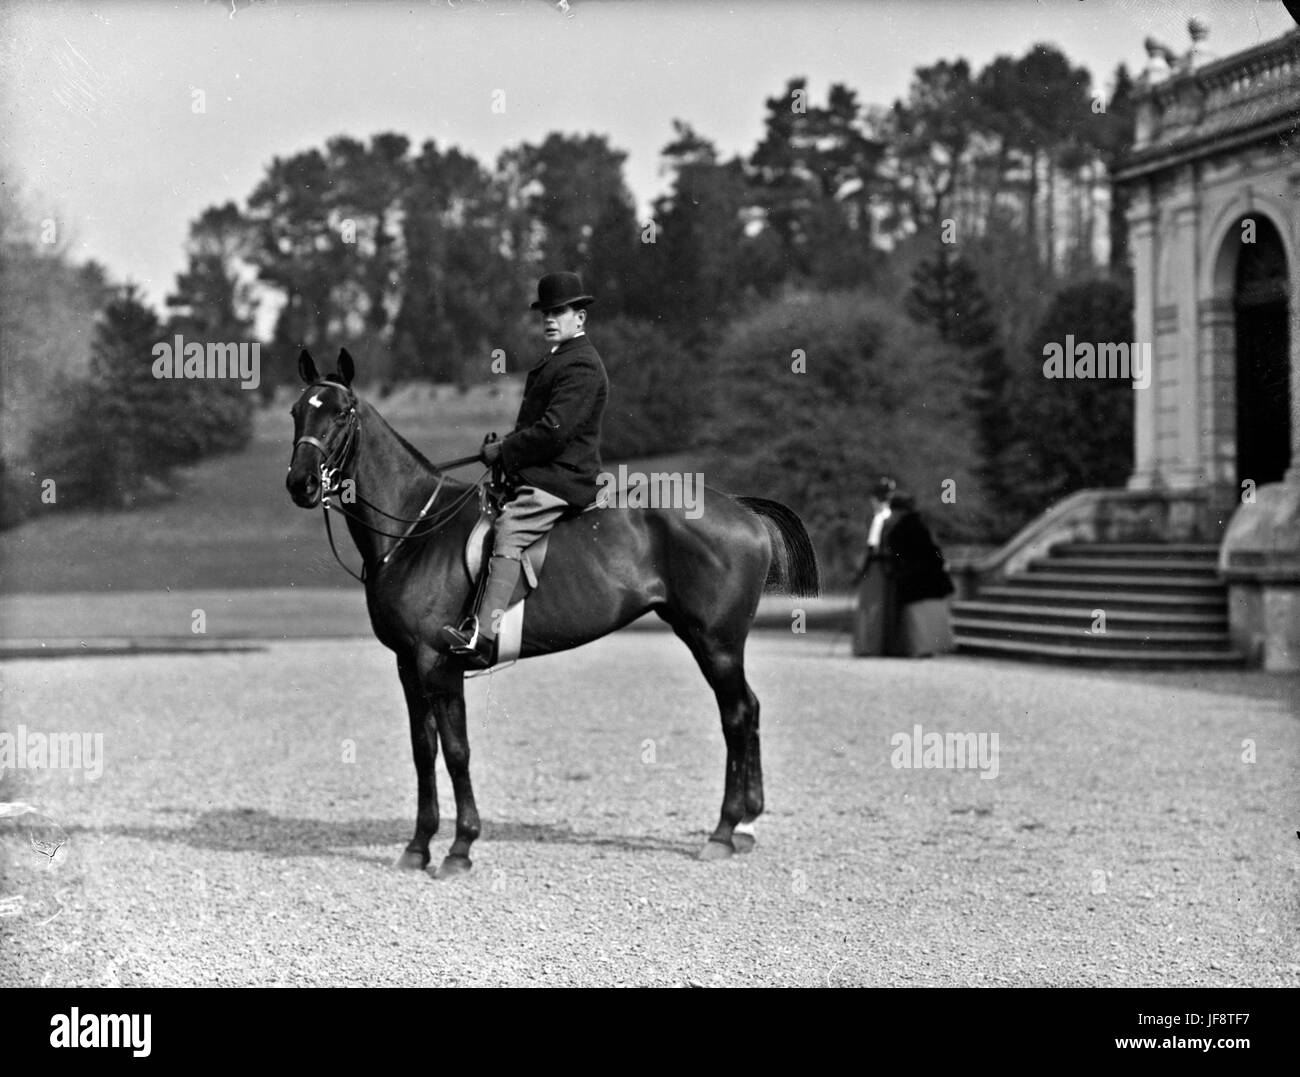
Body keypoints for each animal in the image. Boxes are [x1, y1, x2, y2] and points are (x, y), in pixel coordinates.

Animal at [284, 348, 816, 879]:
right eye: (296, 412)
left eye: (342, 413)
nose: (300, 484)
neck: (417, 528)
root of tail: (742, 510)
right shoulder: (408, 665)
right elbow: (423, 750)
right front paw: (418, 846)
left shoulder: (438, 664)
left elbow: (456, 752)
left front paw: (461, 846)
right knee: (749, 709)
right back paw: (746, 824)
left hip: (716, 642)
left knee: (737, 715)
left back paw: (725, 831)